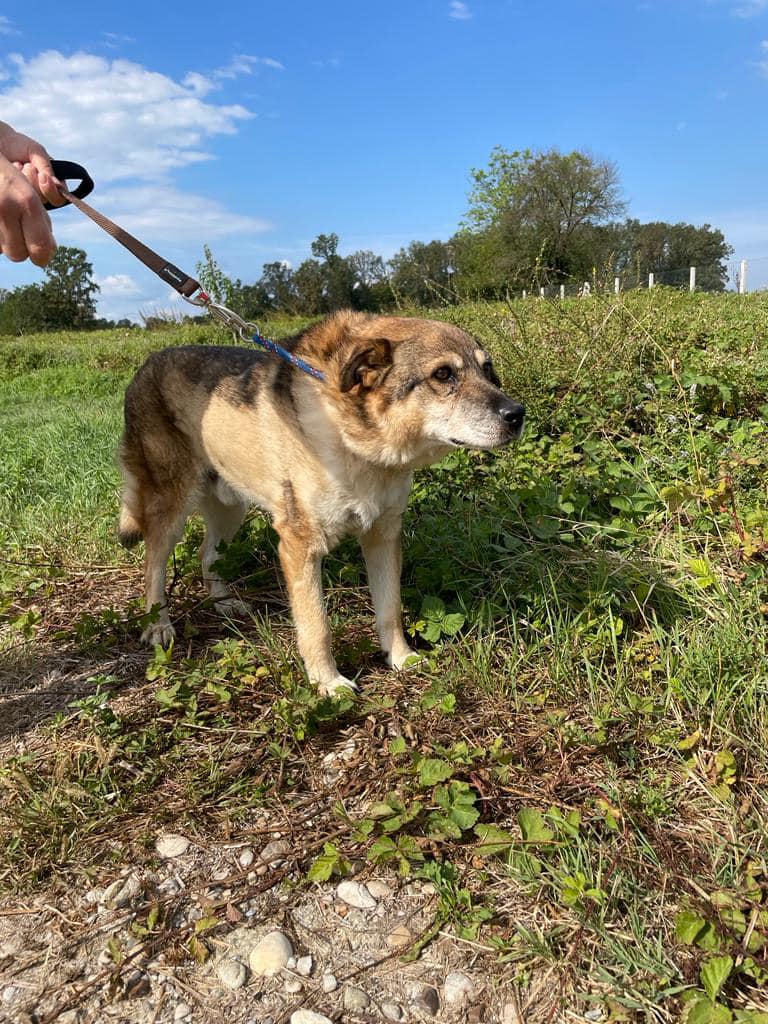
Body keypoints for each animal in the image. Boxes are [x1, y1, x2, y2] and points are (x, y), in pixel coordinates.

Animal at [118, 311, 525, 695]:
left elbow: (390, 608)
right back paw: (158, 625)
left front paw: (401, 658)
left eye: (487, 369)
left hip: (230, 508)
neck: (356, 442)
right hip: (170, 506)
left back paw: (224, 603)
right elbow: (317, 625)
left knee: (207, 554)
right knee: (153, 564)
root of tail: (149, 361)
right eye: (443, 374)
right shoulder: (300, 547)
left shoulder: (383, 535)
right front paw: (327, 683)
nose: (517, 414)